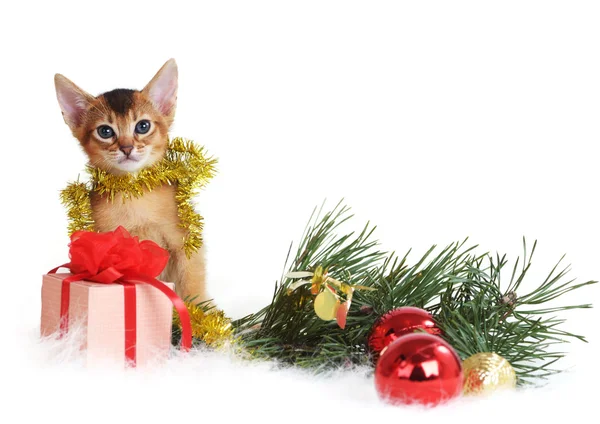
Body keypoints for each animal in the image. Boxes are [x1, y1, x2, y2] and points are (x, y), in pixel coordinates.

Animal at [55, 59, 209, 304]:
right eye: (105, 131)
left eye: (142, 126)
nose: (126, 148)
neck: (134, 194)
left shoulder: (183, 242)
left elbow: (193, 285)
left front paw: (199, 312)